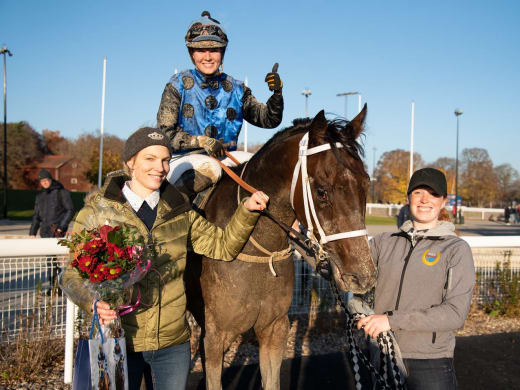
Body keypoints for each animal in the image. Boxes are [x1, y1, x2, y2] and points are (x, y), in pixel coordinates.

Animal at [185, 106, 376, 390]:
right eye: (322, 192)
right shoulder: (216, 335)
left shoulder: (274, 329)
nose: (363, 276)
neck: (257, 247)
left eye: (365, 185)